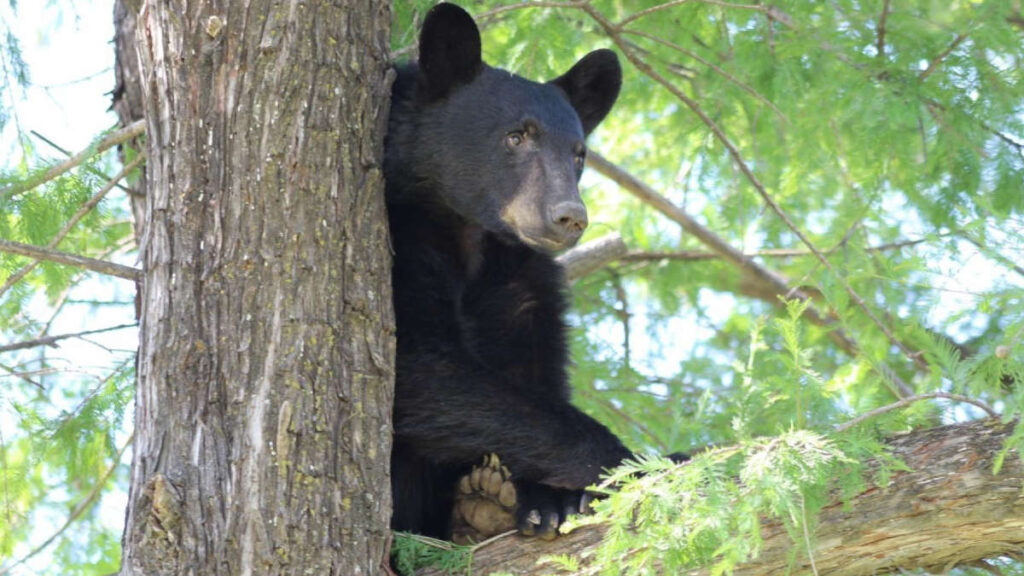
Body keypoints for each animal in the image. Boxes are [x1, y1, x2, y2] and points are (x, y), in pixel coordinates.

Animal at [384, 2, 633, 541]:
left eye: (578, 154)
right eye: (516, 137)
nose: (569, 217)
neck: (473, 236)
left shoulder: (518, 278)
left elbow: (533, 367)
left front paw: (549, 499)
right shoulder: (402, 236)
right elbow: (420, 363)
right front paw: (629, 463)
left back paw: (482, 503)